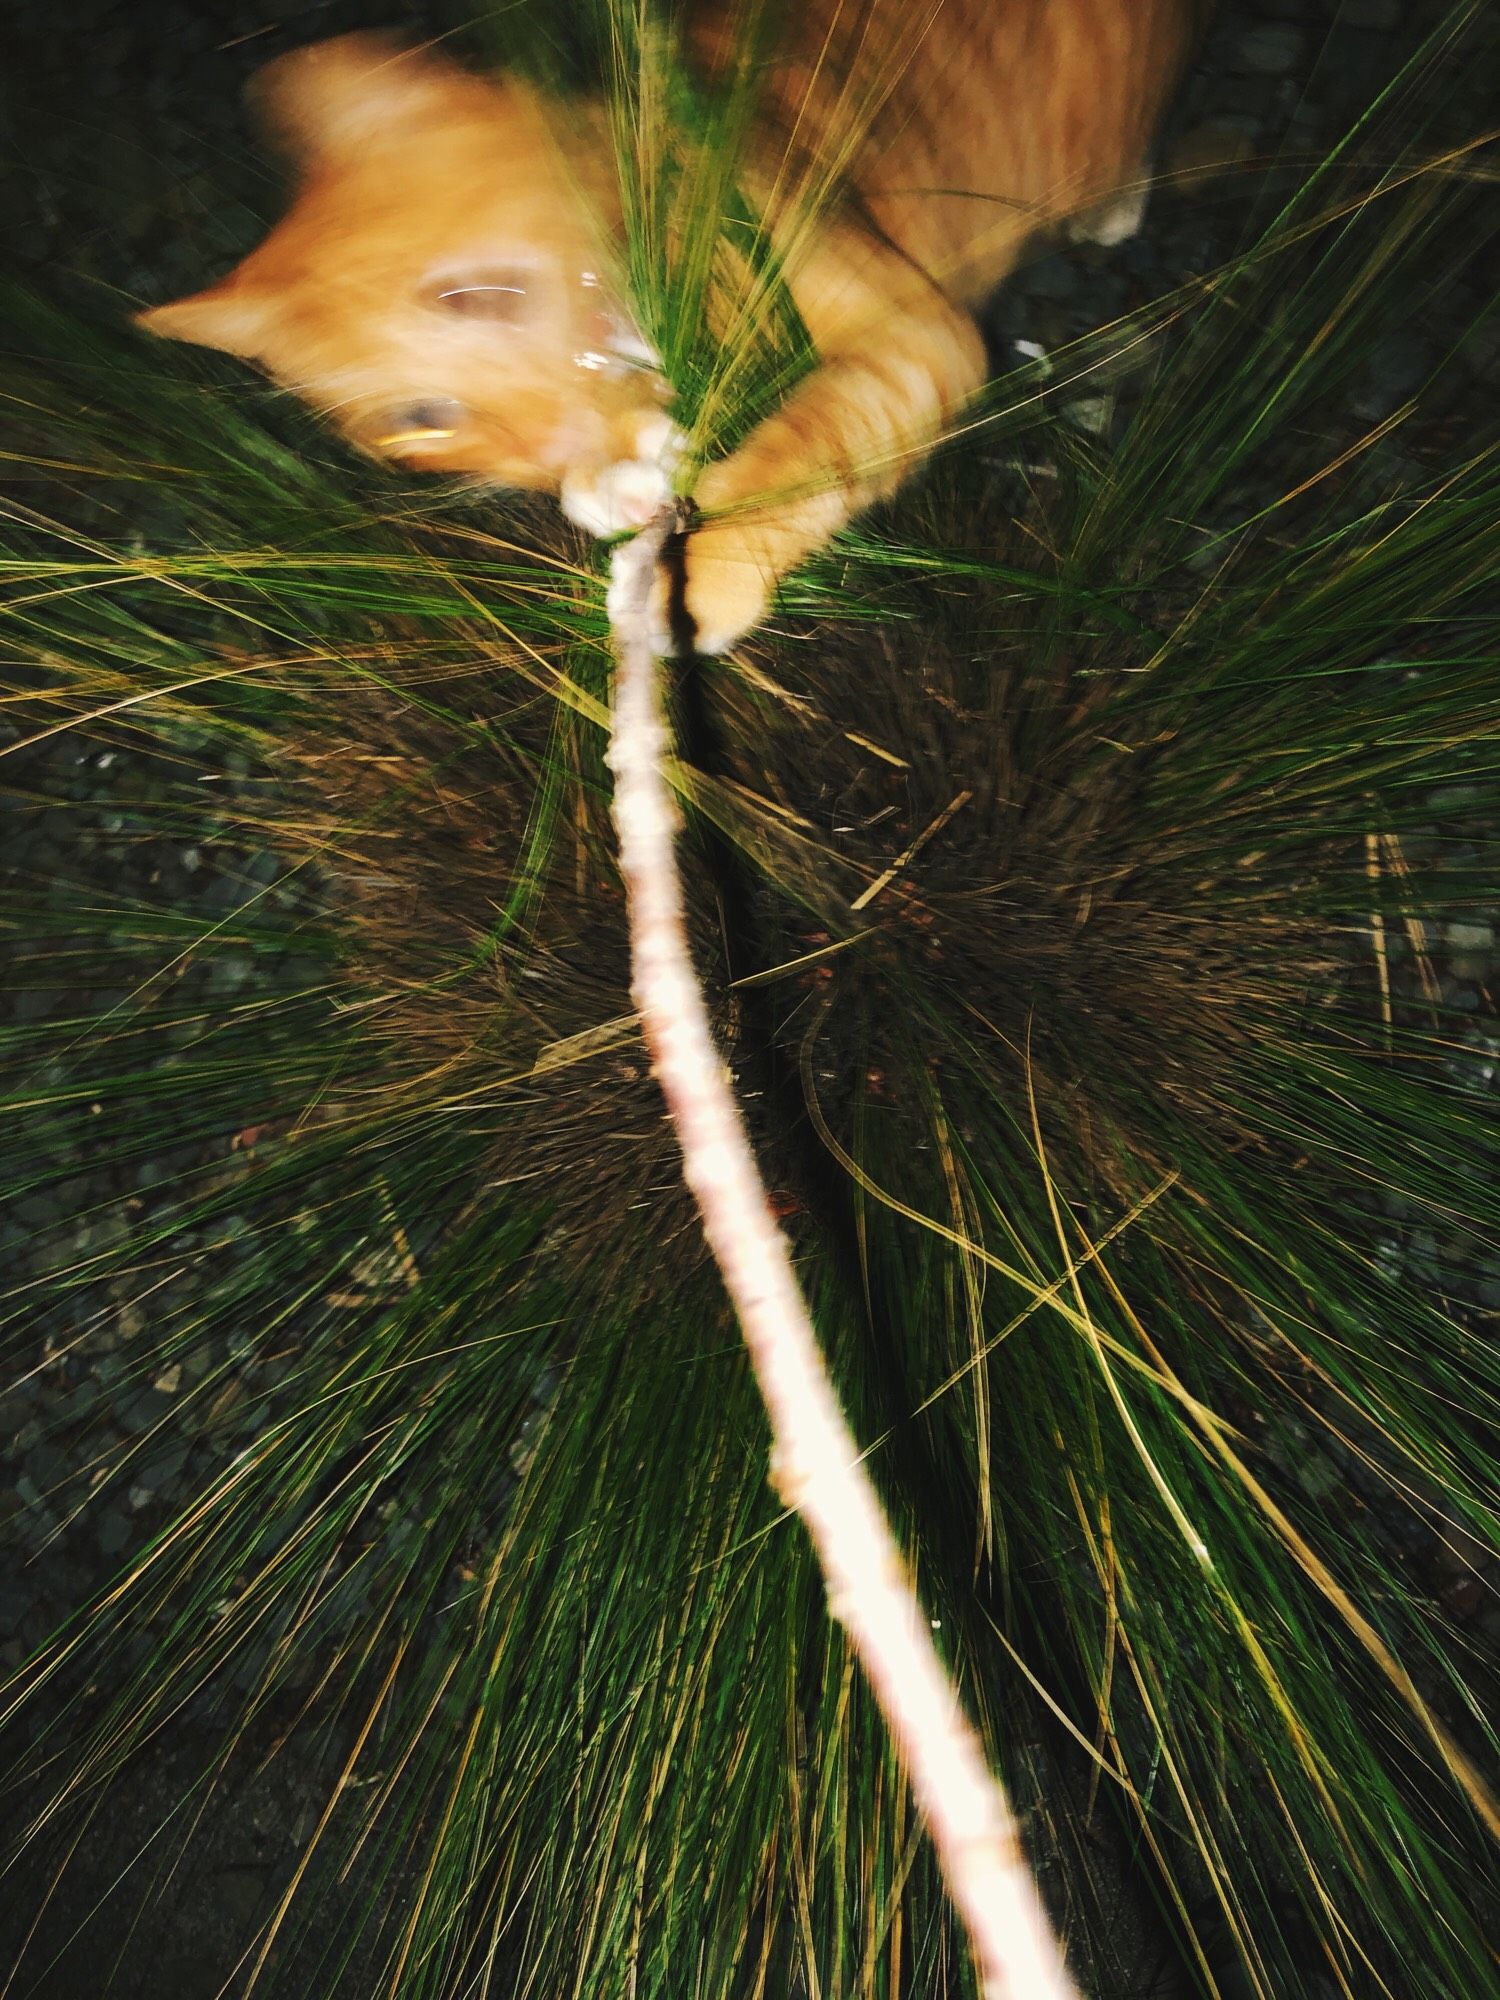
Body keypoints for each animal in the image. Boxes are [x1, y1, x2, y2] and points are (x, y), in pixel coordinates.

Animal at [144, 5, 1208, 648]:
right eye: (422, 419)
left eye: (481, 295)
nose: (551, 438)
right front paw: (600, 482)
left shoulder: (916, 331)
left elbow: (820, 436)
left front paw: (703, 575)